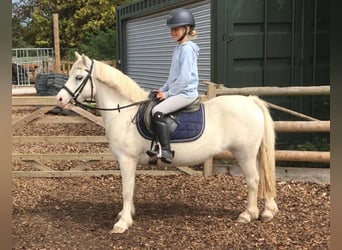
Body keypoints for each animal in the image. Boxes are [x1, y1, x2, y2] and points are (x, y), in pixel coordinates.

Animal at [55, 52, 278, 234]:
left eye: (78, 77)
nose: (59, 99)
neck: (125, 113)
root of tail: (251, 101)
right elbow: (130, 188)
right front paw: (126, 214)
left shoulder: (127, 160)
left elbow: (126, 189)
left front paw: (123, 223)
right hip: (253, 154)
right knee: (262, 178)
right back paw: (267, 211)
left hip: (244, 154)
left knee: (253, 181)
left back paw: (248, 214)